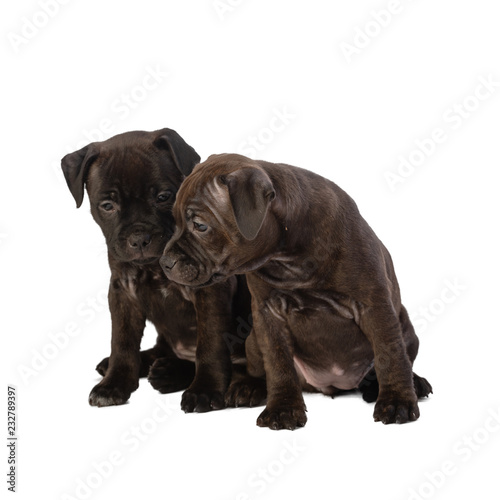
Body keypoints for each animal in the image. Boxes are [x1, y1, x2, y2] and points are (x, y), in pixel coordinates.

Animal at [62, 130, 250, 410]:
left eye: (163, 197)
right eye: (107, 206)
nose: (139, 238)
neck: (152, 266)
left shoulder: (210, 293)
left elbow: (210, 344)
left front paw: (205, 389)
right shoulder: (123, 293)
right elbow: (122, 342)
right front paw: (114, 383)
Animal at [160, 153, 430, 430]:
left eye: (200, 226)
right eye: (175, 221)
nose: (164, 262)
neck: (289, 256)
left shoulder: (374, 305)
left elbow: (389, 355)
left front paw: (396, 401)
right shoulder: (268, 315)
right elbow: (278, 364)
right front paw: (283, 408)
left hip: (406, 328)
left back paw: (409, 384)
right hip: (253, 338)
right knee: (255, 367)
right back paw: (248, 387)